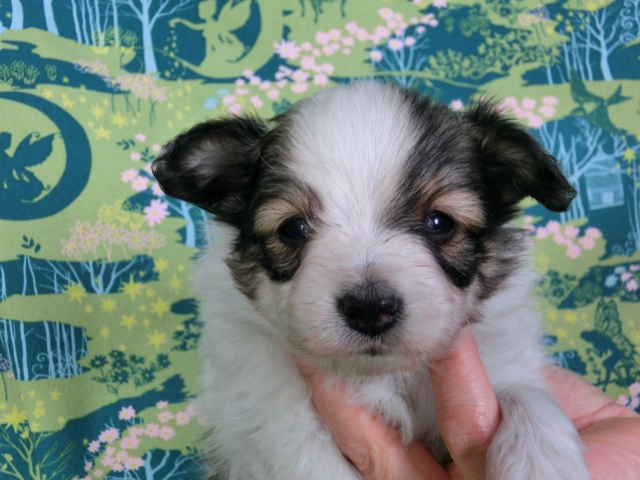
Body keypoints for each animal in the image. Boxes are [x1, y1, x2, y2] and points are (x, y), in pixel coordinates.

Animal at [152, 82, 591, 479]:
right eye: (292, 228)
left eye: (440, 222)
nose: (370, 309)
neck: (380, 377)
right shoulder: (270, 416)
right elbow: (307, 458)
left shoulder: (502, 364)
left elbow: (528, 397)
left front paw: (543, 466)